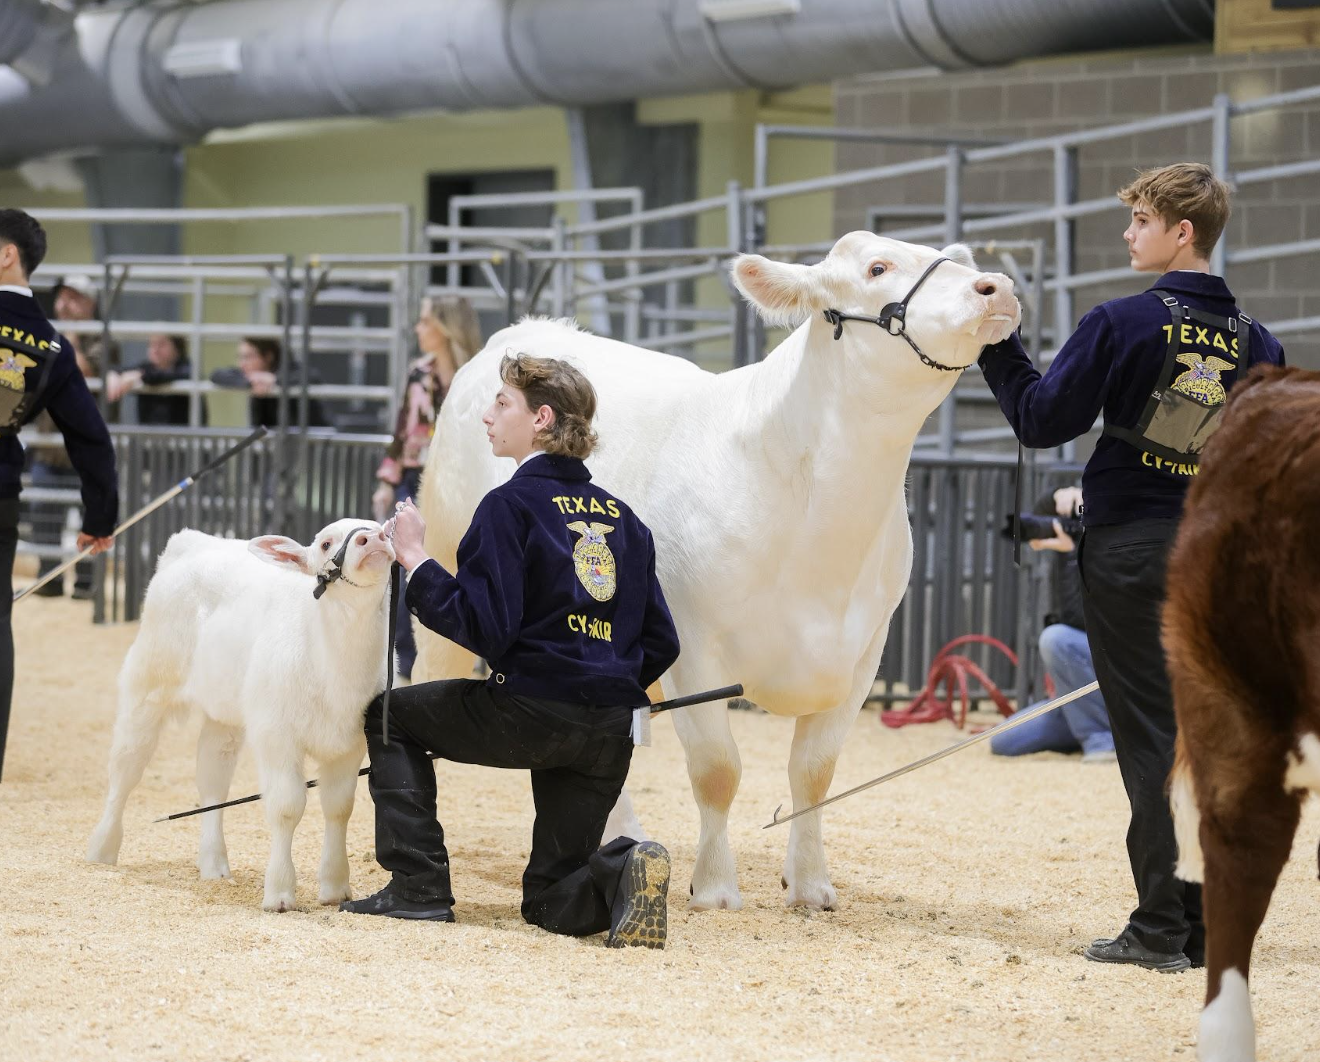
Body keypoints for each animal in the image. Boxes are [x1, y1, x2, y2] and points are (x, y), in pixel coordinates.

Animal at [414, 232, 1019, 912]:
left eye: (953, 260)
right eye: (877, 267)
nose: (996, 286)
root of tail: (523, 330)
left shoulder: (865, 651)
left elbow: (815, 771)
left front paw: (810, 883)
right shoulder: (693, 645)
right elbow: (717, 770)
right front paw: (715, 887)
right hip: (448, 556)